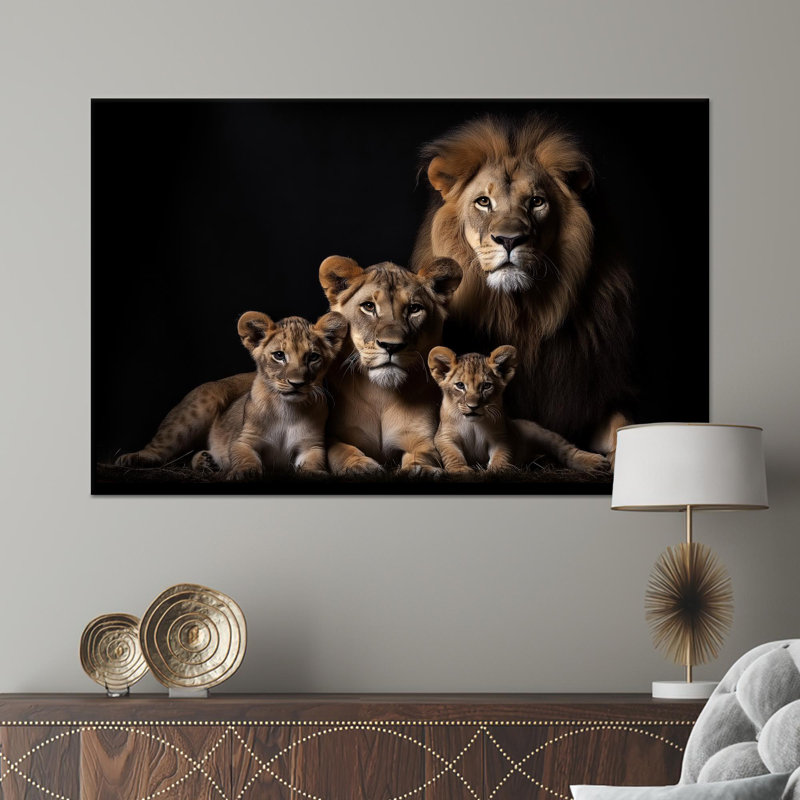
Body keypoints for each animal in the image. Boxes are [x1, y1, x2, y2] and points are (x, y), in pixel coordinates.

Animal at [116, 311, 347, 476]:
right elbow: (244, 457)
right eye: (279, 355)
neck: (287, 409)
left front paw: (315, 473)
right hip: (199, 406)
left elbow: (314, 462)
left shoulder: (311, 445)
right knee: (160, 447)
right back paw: (132, 458)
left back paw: (207, 462)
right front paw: (245, 472)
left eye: (313, 357)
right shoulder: (244, 440)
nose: (296, 384)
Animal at [318, 255, 462, 476]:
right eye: (369, 306)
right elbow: (340, 450)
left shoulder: (423, 439)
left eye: (414, 309)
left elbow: (423, 455)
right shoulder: (333, 435)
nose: (391, 346)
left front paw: (419, 470)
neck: (381, 396)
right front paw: (359, 466)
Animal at [428, 345, 609, 475]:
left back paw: (595, 463)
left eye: (486, 386)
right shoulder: (444, 437)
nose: (473, 406)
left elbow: (502, 452)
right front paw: (459, 470)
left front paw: (499, 469)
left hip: (543, 434)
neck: (474, 424)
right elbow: (451, 453)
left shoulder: (502, 436)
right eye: (460, 385)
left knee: (566, 450)